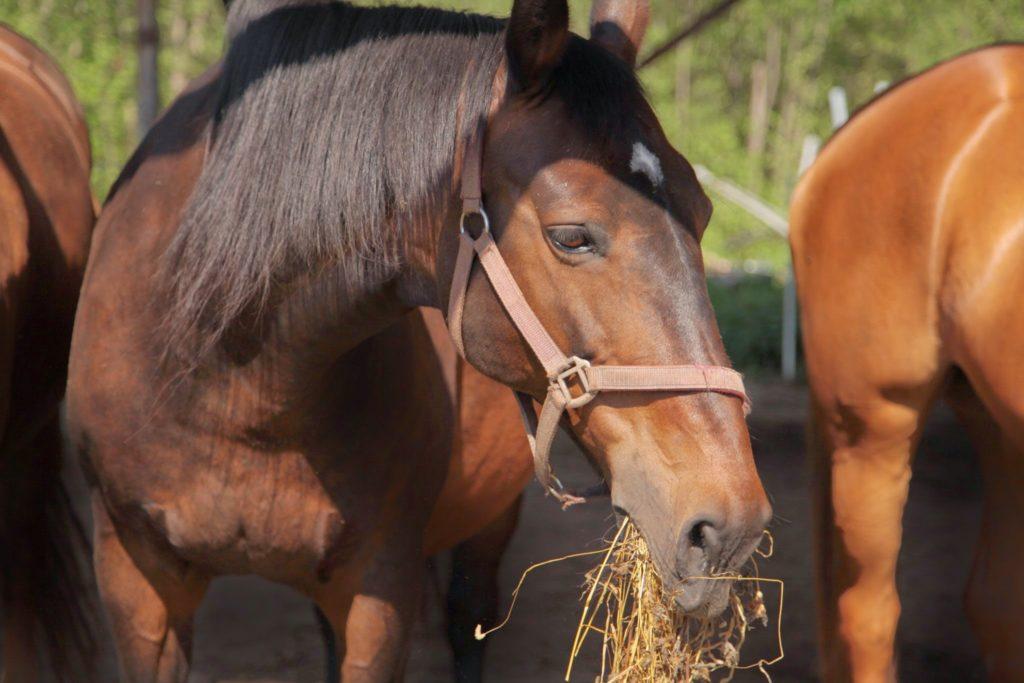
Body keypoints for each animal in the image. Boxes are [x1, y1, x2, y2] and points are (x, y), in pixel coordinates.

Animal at [64, 0, 770, 679]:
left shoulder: (380, 592)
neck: (230, 377)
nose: (729, 526)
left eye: (703, 211)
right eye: (571, 236)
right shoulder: (136, 586)